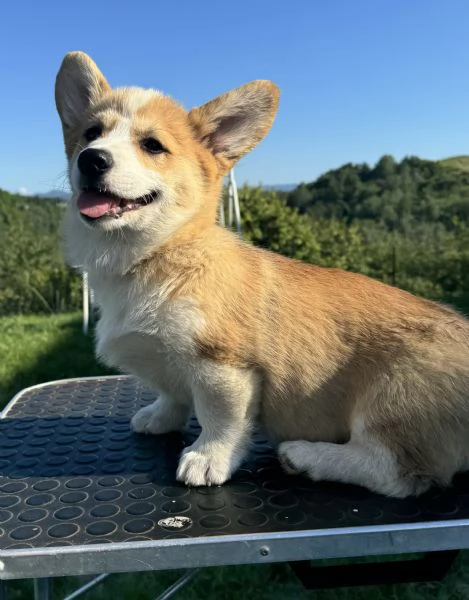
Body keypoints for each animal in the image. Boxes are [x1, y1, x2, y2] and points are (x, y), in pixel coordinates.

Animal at [55, 51, 468, 494]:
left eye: (152, 145)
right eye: (91, 133)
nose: (91, 158)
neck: (156, 256)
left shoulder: (223, 368)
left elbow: (220, 420)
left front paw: (207, 459)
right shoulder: (172, 369)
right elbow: (173, 395)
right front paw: (158, 417)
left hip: (394, 396)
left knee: (396, 473)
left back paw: (306, 456)